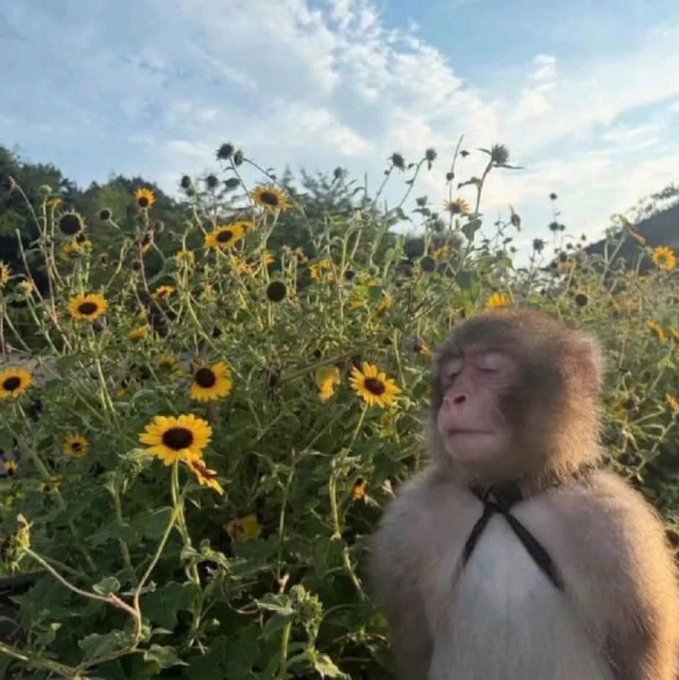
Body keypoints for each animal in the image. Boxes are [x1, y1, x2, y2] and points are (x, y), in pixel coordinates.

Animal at [370, 308, 679, 680]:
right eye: (452, 374)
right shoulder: (409, 520)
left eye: (491, 369)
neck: (504, 495)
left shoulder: (618, 528)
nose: (454, 398)